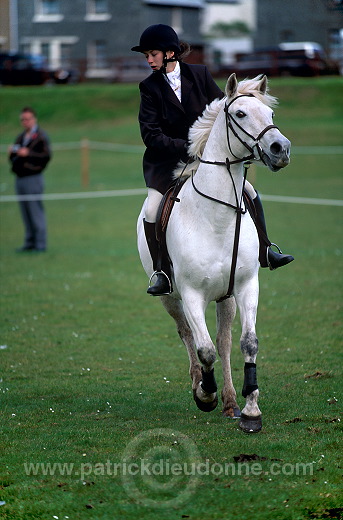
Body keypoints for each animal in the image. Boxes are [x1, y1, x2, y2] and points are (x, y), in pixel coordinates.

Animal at [137, 72, 290, 430]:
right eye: (240, 114)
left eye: (271, 114)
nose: (281, 149)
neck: (216, 218)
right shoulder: (192, 294)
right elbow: (203, 348)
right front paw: (205, 395)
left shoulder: (246, 286)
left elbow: (247, 342)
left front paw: (250, 410)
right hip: (170, 297)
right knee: (187, 335)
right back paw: (199, 383)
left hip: (226, 296)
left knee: (224, 341)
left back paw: (231, 400)